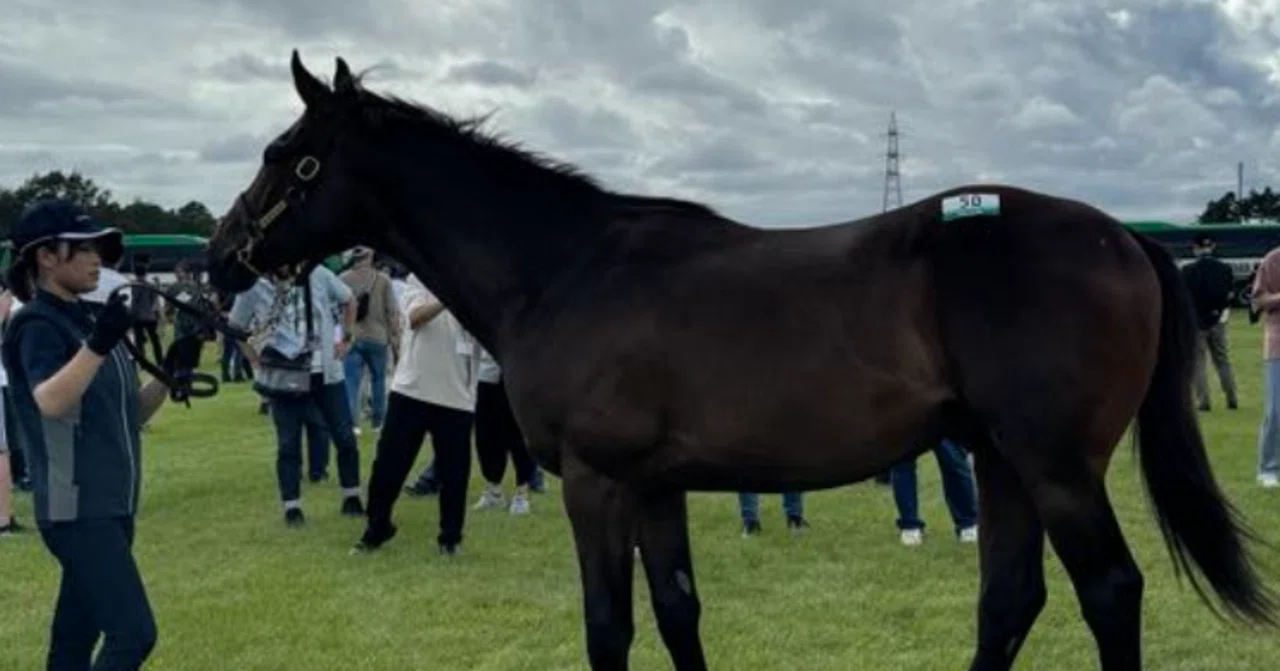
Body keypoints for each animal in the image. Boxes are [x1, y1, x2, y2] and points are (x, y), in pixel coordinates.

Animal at [204, 51, 1275, 671]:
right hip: (1004, 460)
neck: (566, 268)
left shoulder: (596, 482)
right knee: (1010, 601)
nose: (219, 257)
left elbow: (609, 626)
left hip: (1055, 467)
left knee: (1110, 593)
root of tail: (1120, 236)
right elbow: (679, 611)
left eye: (285, 152)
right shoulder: (655, 486)